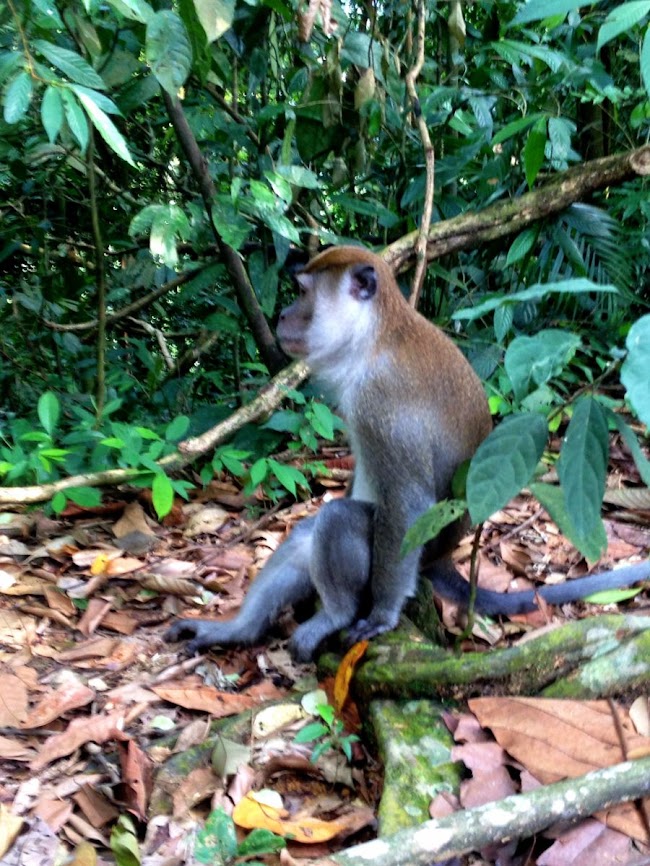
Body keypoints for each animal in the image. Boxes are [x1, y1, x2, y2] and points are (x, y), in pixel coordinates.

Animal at [166, 245, 648, 660]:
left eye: (303, 292)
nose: (282, 314)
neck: (373, 340)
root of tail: (441, 559)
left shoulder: (384, 400)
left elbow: (409, 505)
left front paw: (381, 615)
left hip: (413, 554)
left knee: (338, 520)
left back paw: (337, 614)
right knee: (309, 533)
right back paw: (238, 630)